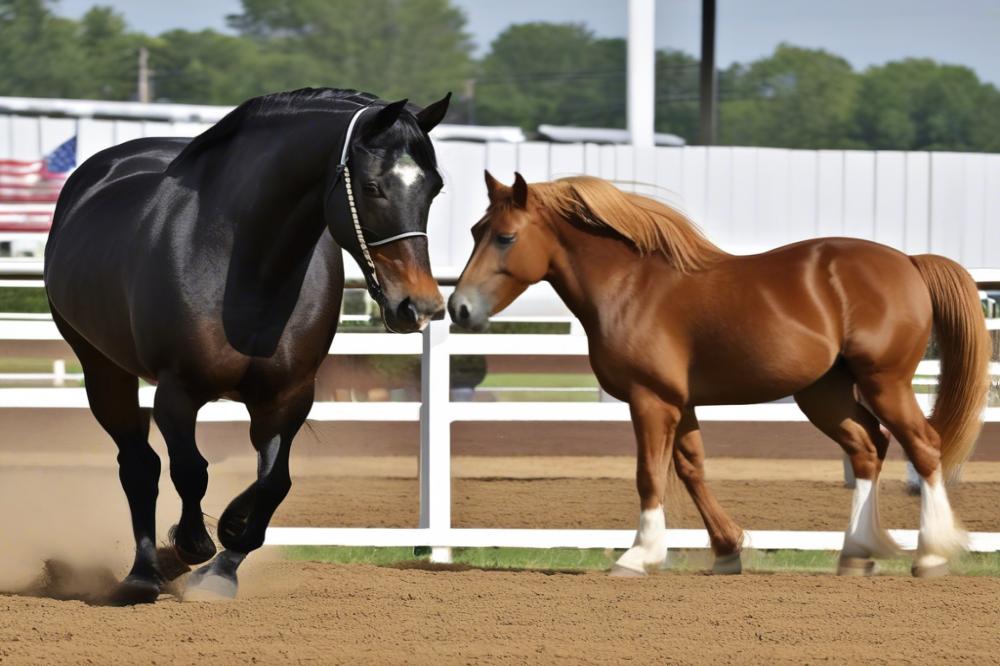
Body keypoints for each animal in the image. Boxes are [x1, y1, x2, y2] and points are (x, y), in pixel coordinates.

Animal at [43, 88, 450, 600]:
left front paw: (225, 554)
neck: (245, 267)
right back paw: (144, 574)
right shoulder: (176, 392)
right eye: (374, 186)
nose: (419, 305)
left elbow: (274, 483)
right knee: (139, 466)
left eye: (434, 188)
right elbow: (190, 470)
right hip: (102, 370)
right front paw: (191, 546)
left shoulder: (289, 398)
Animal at [454, 171, 992, 576]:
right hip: (824, 392)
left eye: (506, 237)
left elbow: (649, 473)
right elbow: (691, 468)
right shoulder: (681, 402)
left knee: (923, 446)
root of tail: (908, 261)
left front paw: (639, 554)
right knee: (868, 448)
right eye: (475, 231)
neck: (629, 287)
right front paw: (727, 550)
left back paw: (930, 555)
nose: (459, 308)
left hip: (885, 382)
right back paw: (856, 553)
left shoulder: (651, 400)